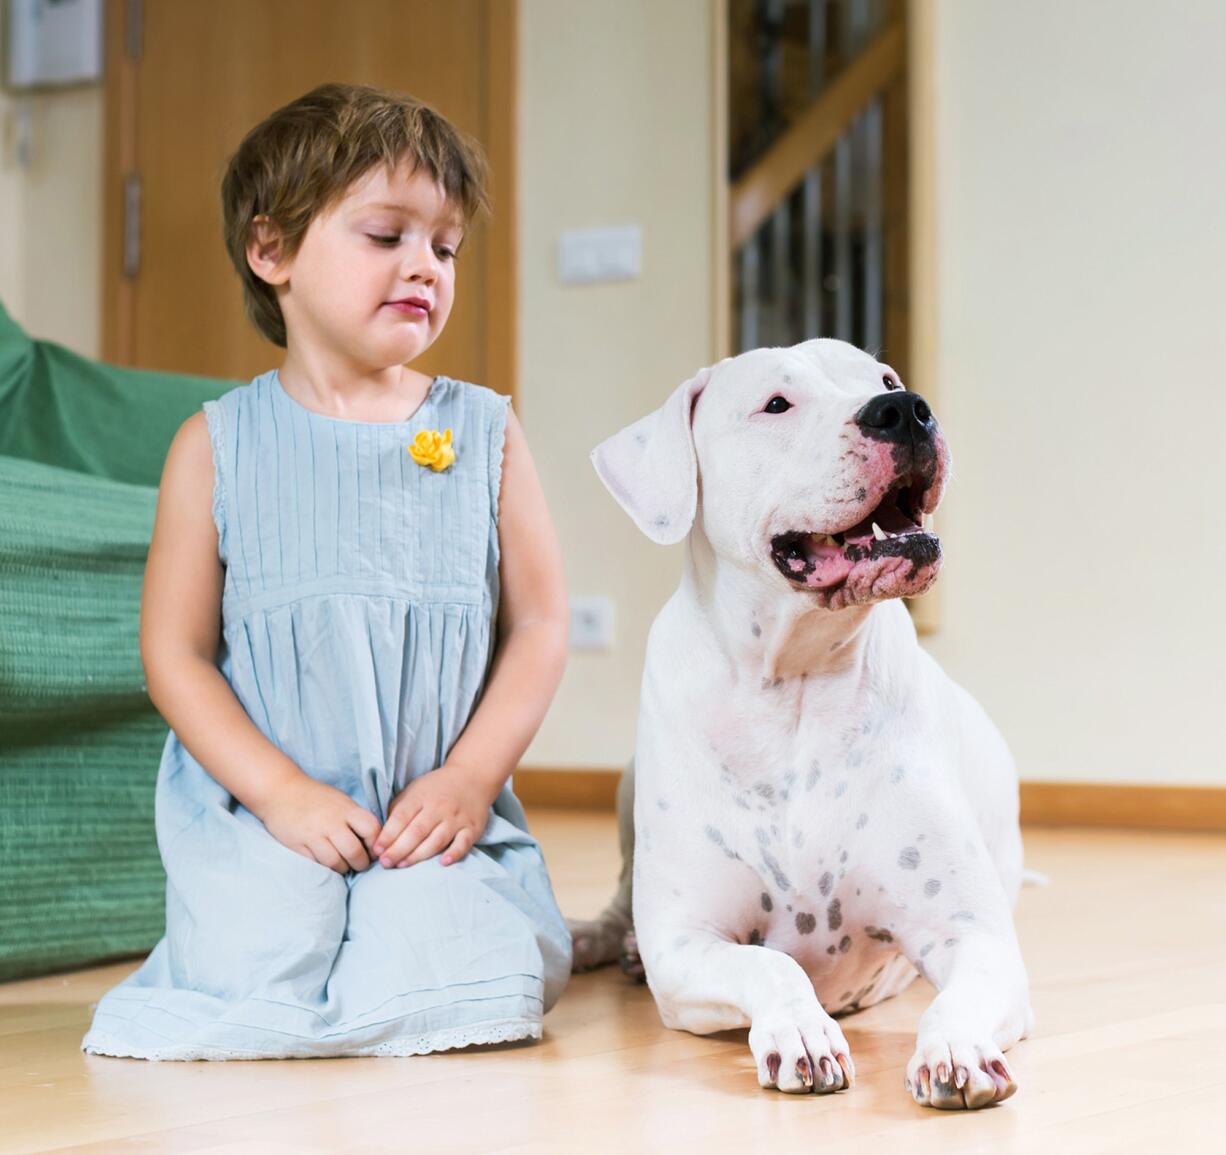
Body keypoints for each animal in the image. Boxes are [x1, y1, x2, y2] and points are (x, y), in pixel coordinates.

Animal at [581, 340, 1034, 1113]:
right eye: (776, 404)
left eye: (884, 378)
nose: (905, 407)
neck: (791, 681)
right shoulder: (686, 944)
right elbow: (768, 966)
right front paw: (800, 1030)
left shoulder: (975, 937)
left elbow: (962, 995)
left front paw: (956, 1048)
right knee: (620, 899)